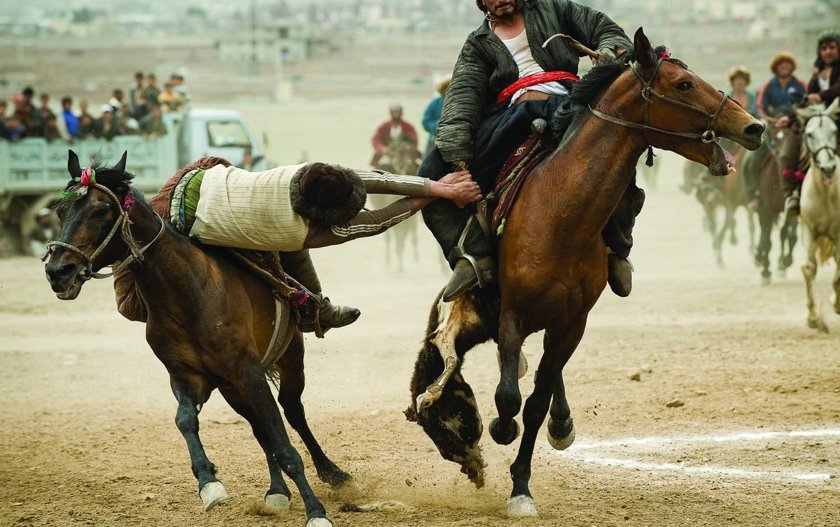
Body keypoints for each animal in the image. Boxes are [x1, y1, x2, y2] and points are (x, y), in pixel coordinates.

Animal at [44, 151, 348, 524]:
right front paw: (209, 483)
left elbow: (283, 442)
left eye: (101, 210)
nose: (58, 271)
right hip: (233, 389)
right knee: (259, 428)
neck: (188, 294)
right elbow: (186, 420)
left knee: (291, 412)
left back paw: (334, 474)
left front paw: (316, 512)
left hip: (288, 359)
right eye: (60, 211)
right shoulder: (189, 377)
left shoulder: (249, 372)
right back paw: (276, 491)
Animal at [370, 139, 420, 272]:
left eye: (412, 152)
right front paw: (400, 266)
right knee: (389, 239)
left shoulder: (413, 219)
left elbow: (411, 237)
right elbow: (399, 238)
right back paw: (389, 264)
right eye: (398, 152)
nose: (404, 164)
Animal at [404, 29, 764, 520]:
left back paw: (559, 423)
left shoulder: (573, 323)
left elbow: (534, 403)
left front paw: (521, 485)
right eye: (683, 84)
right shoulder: (511, 316)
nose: (753, 127)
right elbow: (508, 398)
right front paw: (500, 432)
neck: (561, 215)